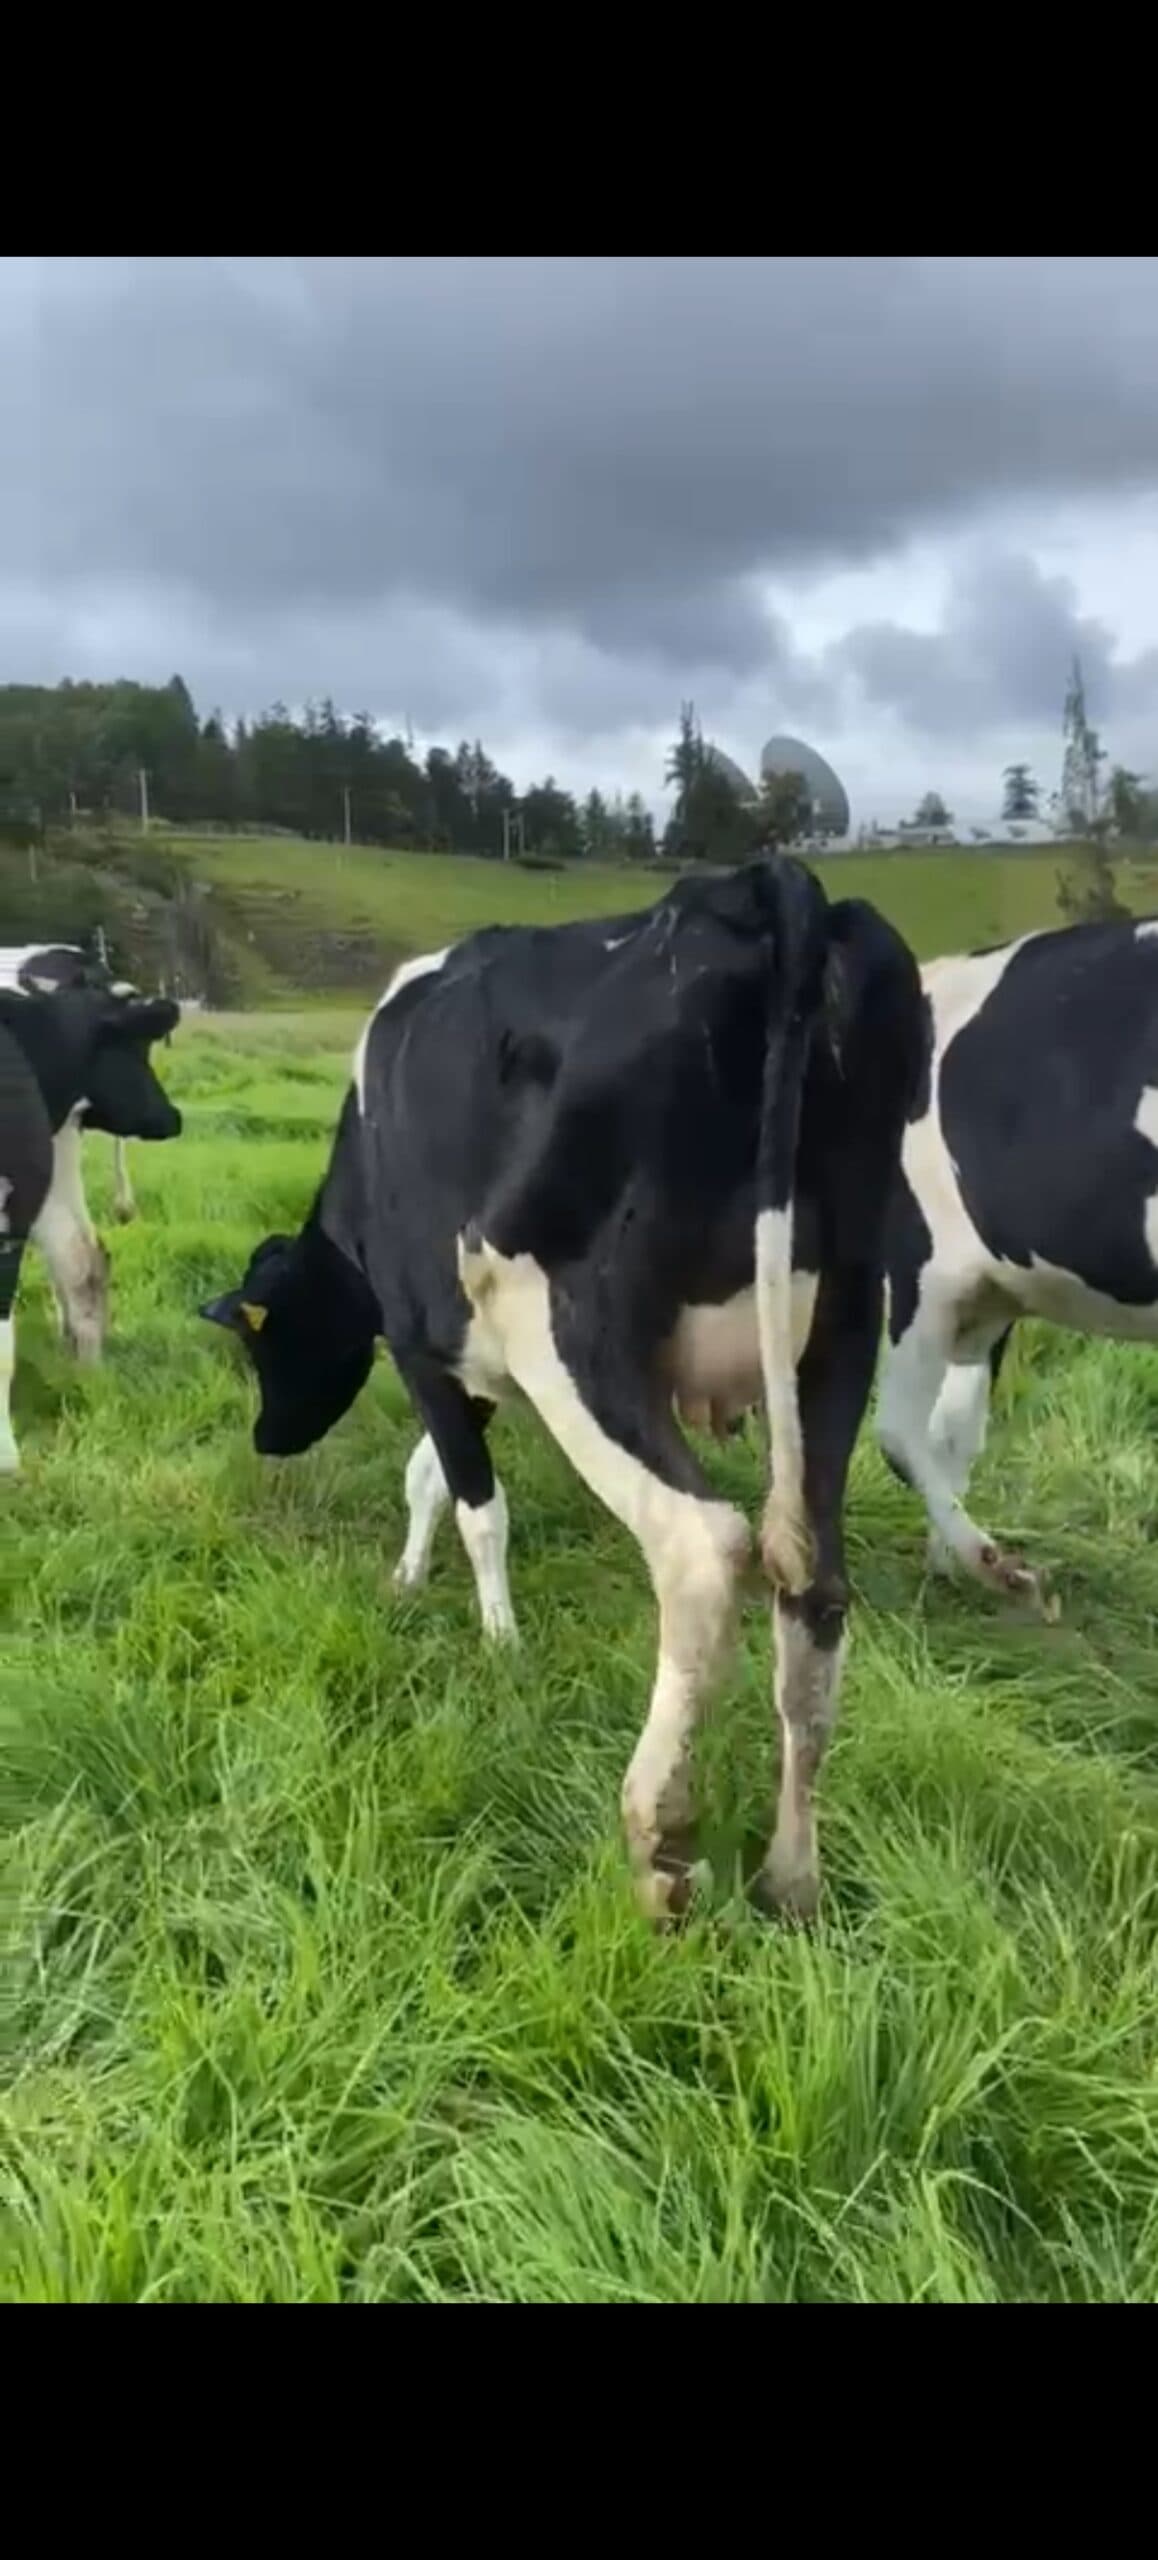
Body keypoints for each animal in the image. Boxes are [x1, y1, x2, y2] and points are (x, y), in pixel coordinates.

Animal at [200, 857, 924, 1923]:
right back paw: (792, 1876)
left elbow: (470, 1498)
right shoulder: (473, 1362)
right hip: (841, 1321)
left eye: (265, 1340)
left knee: (705, 1545)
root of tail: (760, 884)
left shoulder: (422, 1342)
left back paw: (658, 1839)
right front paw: (411, 1580)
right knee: (811, 1575)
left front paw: (498, 1640)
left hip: (568, 1321)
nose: (267, 1439)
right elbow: (432, 1476)